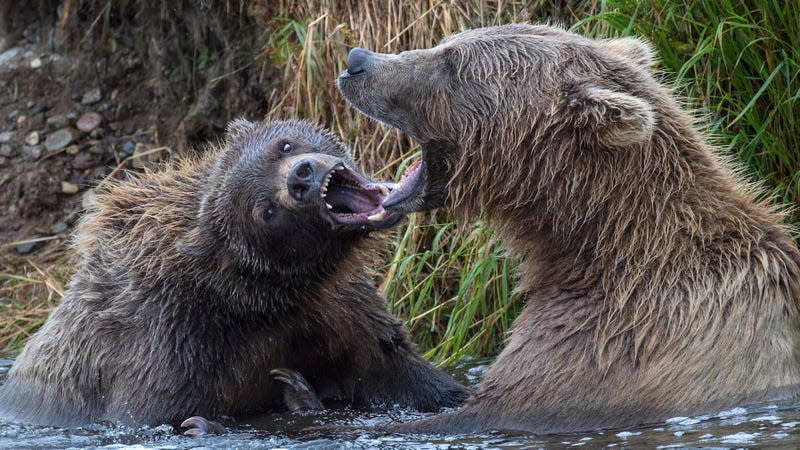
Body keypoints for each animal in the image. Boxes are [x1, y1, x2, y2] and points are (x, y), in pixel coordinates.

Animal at [0, 118, 468, 428]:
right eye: (265, 210)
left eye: (284, 145)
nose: (301, 177)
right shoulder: (173, 344)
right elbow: (161, 409)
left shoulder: (341, 310)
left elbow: (408, 374)